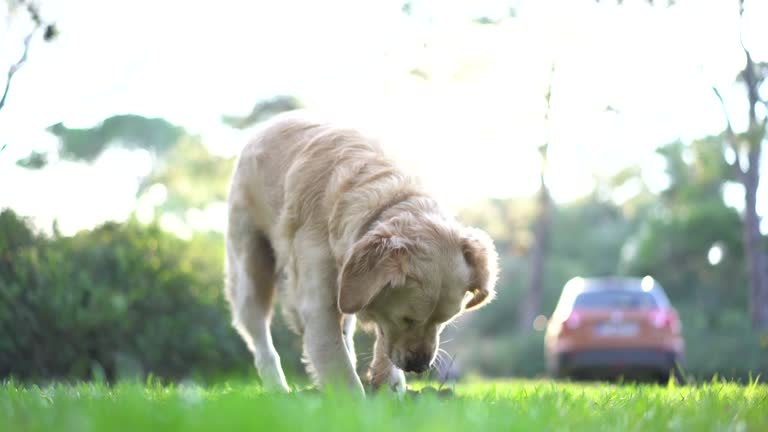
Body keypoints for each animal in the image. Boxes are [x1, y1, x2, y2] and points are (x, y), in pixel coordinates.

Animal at [224, 110, 498, 394]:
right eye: (407, 319)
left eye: (443, 321)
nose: (419, 367)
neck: (387, 197)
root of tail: (270, 123)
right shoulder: (319, 303)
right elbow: (338, 364)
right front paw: (355, 401)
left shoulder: (355, 292)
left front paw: (390, 385)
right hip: (250, 271)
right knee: (260, 339)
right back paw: (278, 388)